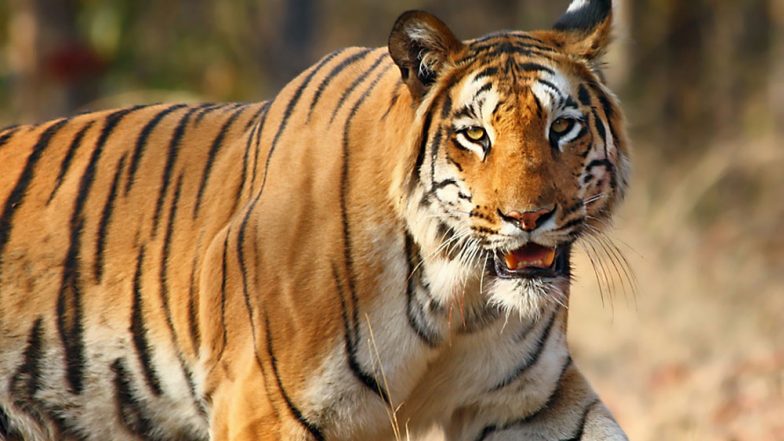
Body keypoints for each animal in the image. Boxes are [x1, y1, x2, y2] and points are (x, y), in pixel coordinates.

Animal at [0, 0, 631, 440]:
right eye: (475, 134)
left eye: (562, 127)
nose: (529, 217)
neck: (457, 296)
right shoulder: (264, 407)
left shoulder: (529, 401)